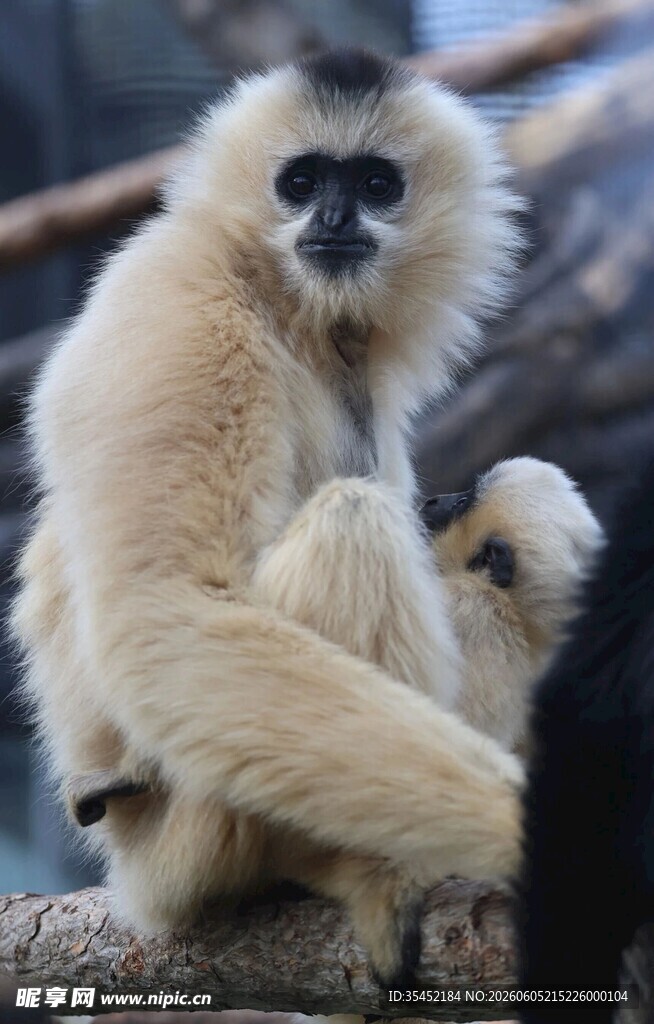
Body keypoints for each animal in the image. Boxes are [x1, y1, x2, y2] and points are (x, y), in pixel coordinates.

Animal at [11, 48, 526, 987]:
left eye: (375, 182)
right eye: (301, 181)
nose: (333, 216)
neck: (283, 298)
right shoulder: (176, 307)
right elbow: (166, 614)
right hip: (184, 842)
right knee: (353, 523)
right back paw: (355, 870)